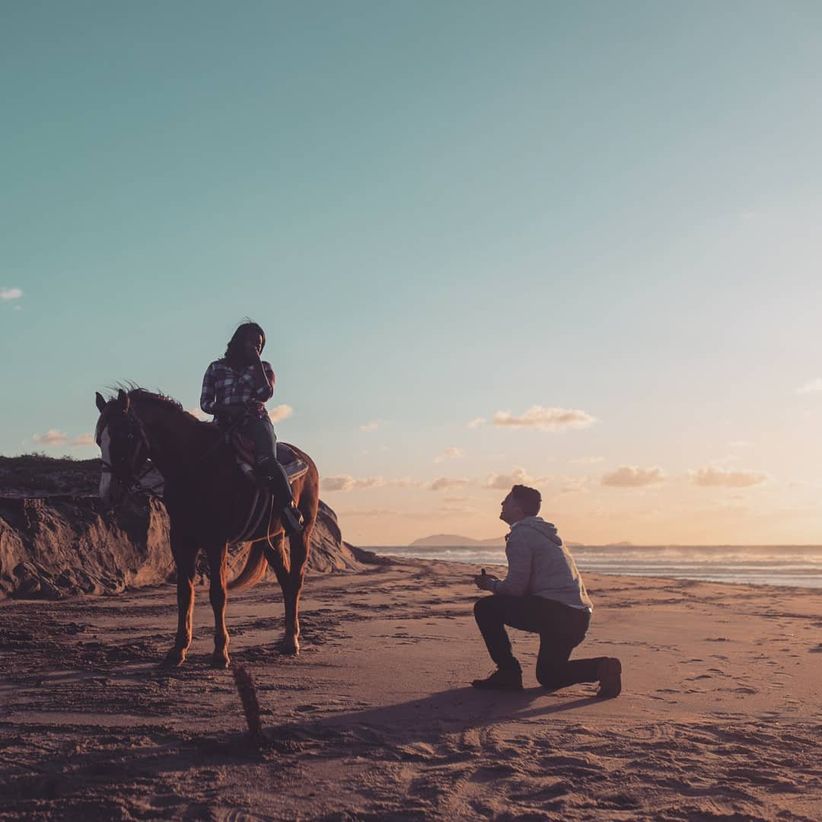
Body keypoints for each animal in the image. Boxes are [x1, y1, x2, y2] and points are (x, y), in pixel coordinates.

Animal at [93, 388, 318, 668]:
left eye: (125, 435)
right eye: (99, 440)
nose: (108, 494)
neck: (193, 466)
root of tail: (307, 461)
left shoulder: (215, 540)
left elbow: (217, 593)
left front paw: (220, 652)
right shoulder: (181, 540)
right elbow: (184, 593)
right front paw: (178, 650)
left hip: (301, 533)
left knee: (295, 581)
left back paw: (293, 642)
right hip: (272, 540)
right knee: (286, 583)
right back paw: (287, 638)